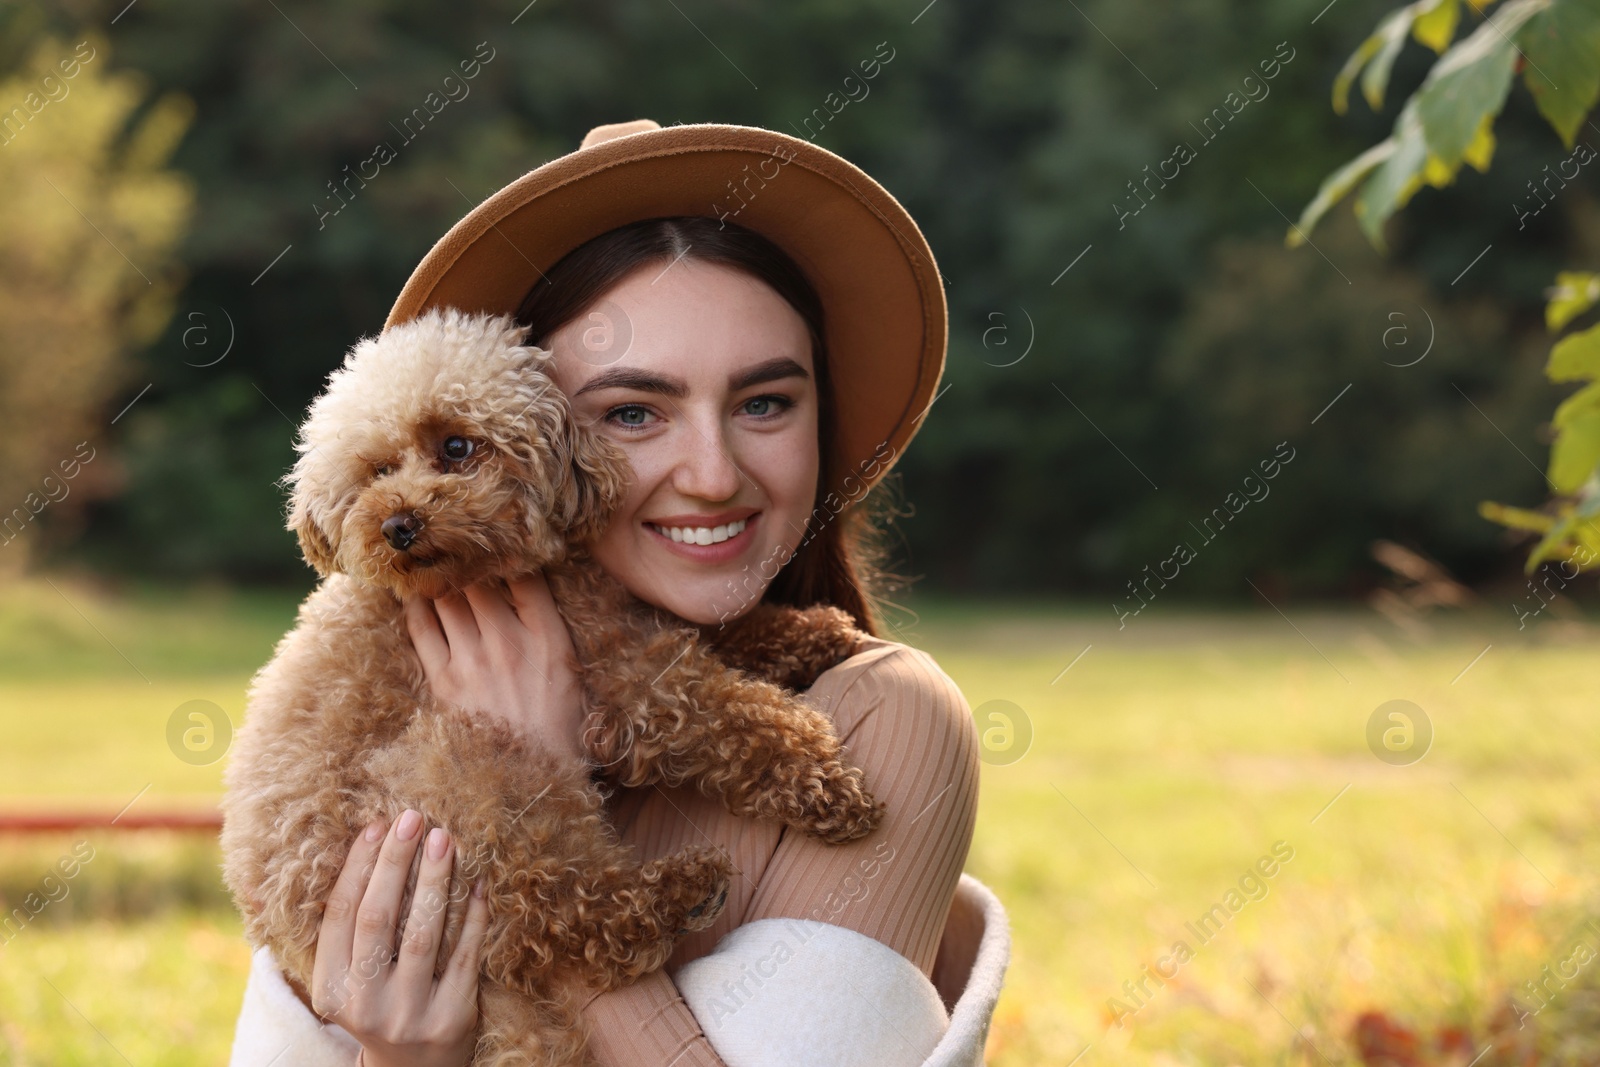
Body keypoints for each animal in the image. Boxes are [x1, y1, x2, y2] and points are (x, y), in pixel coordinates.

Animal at [217, 303, 889, 1062]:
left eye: (457, 447)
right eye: (379, 468)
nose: (397, 524)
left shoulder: (621, 621)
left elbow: (724, 635)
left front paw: (818, 632)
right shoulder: (629, 684)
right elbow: (725, 708)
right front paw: (826, 782)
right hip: (459, 772)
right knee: (560, 912)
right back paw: (678, 891)